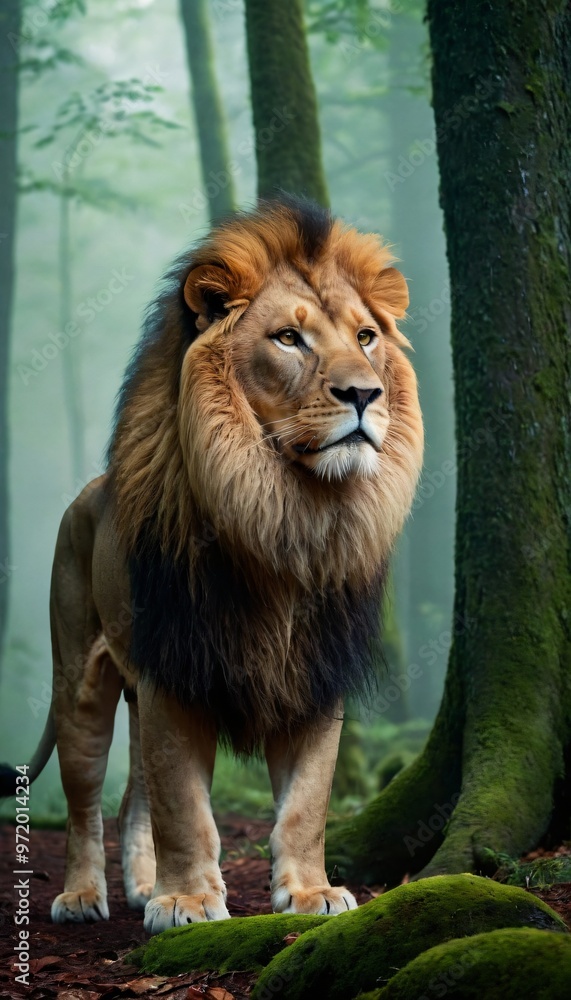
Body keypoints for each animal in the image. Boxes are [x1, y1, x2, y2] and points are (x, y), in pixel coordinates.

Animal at [0, 197, 423, 934]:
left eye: (367, 337)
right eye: (289, 338)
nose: (365, 394)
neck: (286, 518)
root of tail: (86, 494)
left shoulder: (314, 671)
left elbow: (306, 804)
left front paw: (311, 892)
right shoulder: (177, 669)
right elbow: (184, 806)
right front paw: (189, 901)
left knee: (133, 797)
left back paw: (141, 885)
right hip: (80, 682)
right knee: (86, 802)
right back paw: (83, 896)